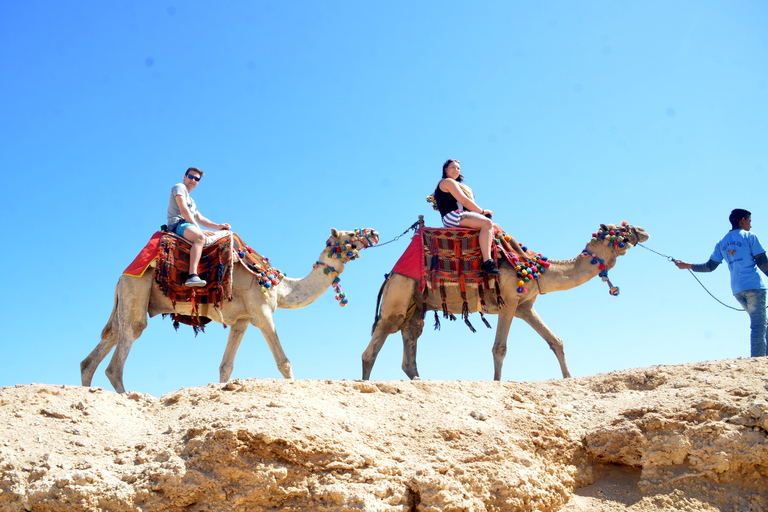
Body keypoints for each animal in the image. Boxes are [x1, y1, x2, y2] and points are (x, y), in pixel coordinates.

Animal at [80, 228, 376, 392]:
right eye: (351, 234)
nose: (374, 231)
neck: (279, 286)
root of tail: (121, 276)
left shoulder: (241, 321)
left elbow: (225, 366)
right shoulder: (262, 313)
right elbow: (284, 362)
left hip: (128, 299)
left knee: (104, 343)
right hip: (137, 288)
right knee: (122, 351)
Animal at [364, 222, 652, 382]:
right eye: (619, 229)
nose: (642, 230)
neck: (535, 268)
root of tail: (389, 276)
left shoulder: (525, 306)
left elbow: (555, 342)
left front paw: (569, 378)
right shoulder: (509, 301)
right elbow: (499, 348)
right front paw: (497, 383)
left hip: (417, 303)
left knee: (410, 334)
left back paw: (420, 378)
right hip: (400, 292)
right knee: (376, 343)